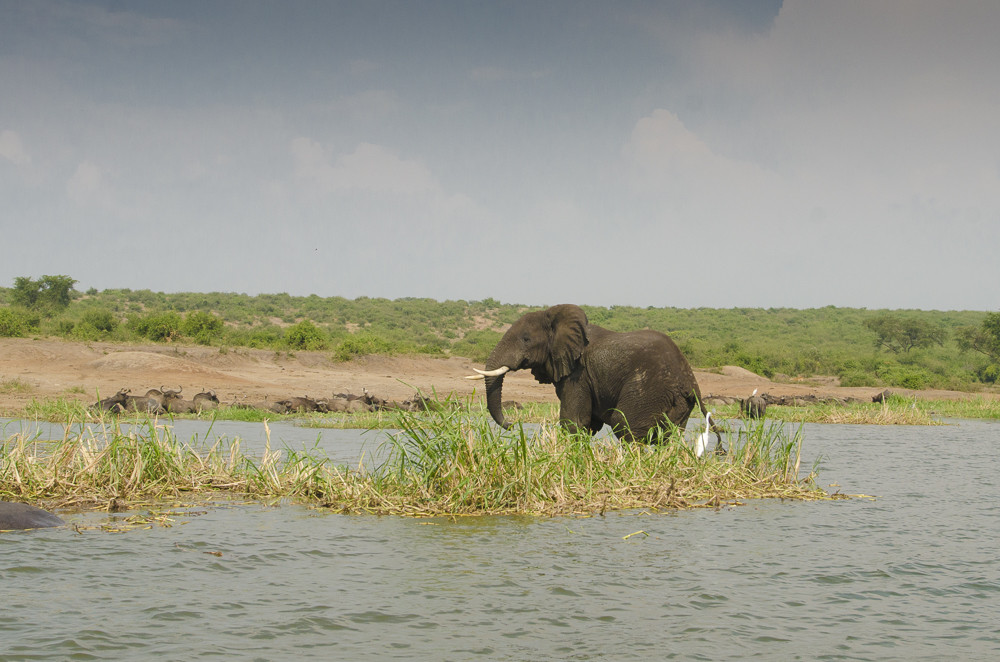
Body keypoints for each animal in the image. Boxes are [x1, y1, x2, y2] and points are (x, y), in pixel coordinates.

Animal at [469, 304, 720, 445]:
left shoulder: (578, 374)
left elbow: (574, 421)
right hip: (679, 404)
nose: (513, 425)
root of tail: (691, 380)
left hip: (650, 389)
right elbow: (589, 424)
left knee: (626, 424)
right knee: (665, 436)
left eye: (526, 339)